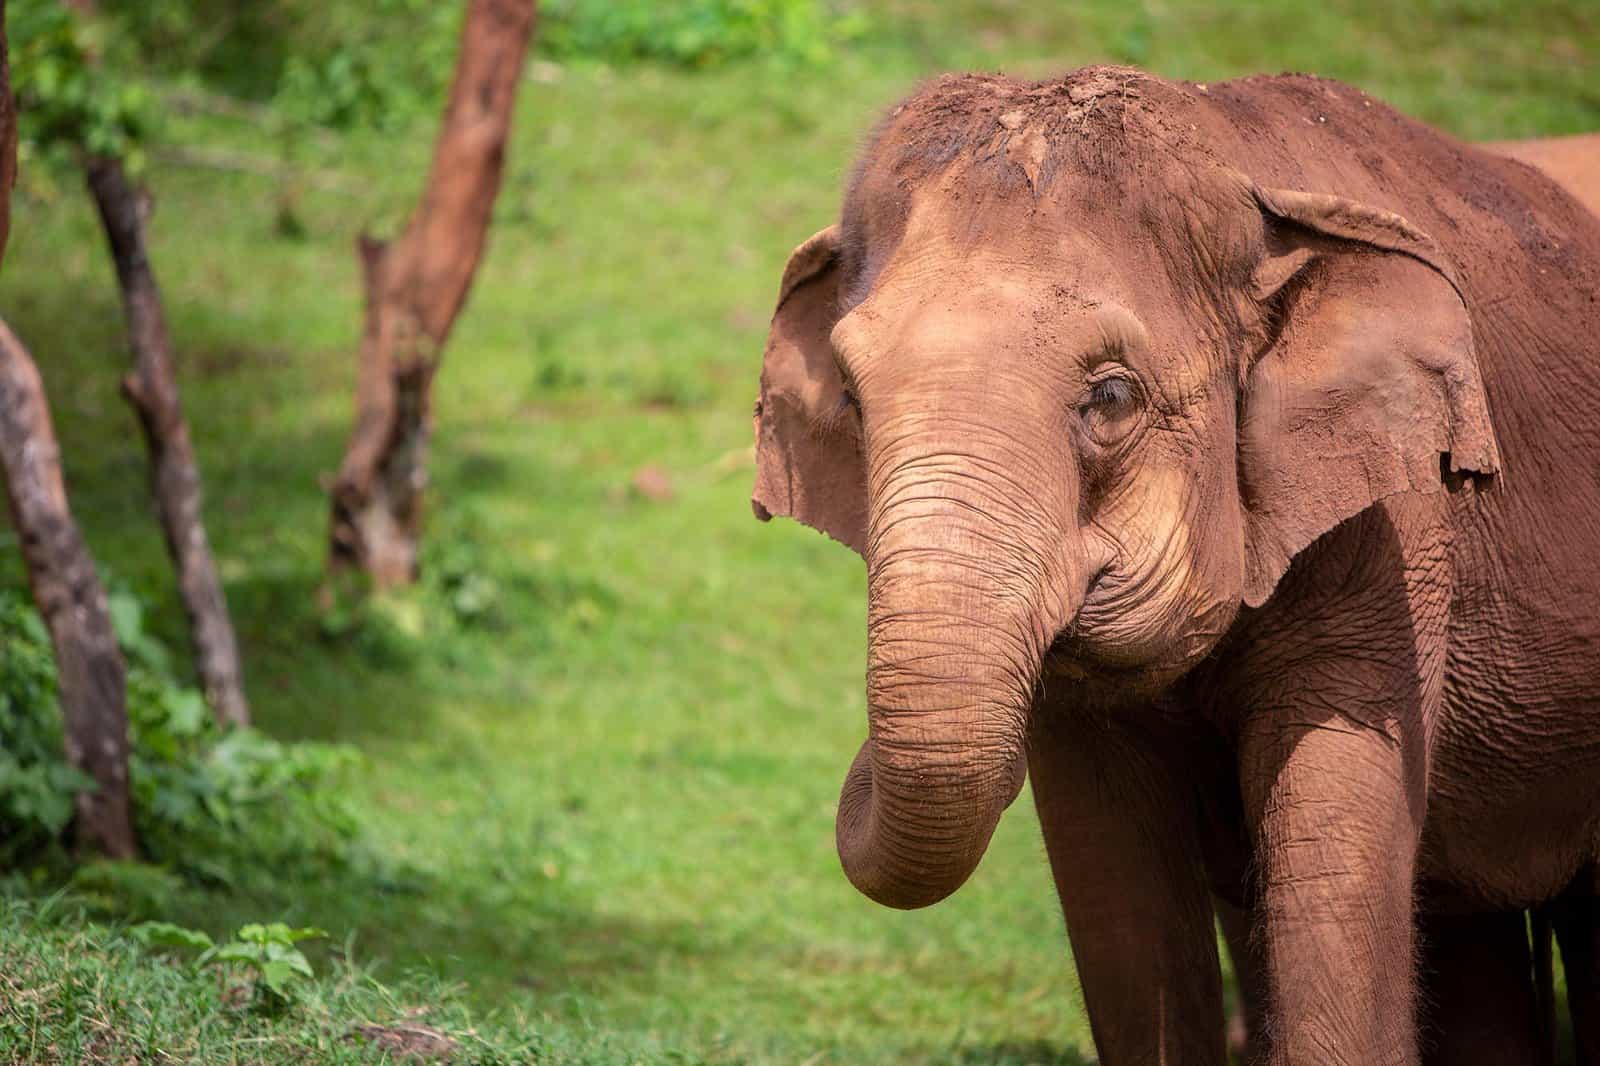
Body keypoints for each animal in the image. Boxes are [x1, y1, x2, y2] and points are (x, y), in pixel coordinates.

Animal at [749, 66, 1600, 1065]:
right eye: (850, 398)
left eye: (1112, 396)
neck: (1240, 161)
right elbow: (1116, 890)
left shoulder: (1397, 529)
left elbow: (1330, 850)